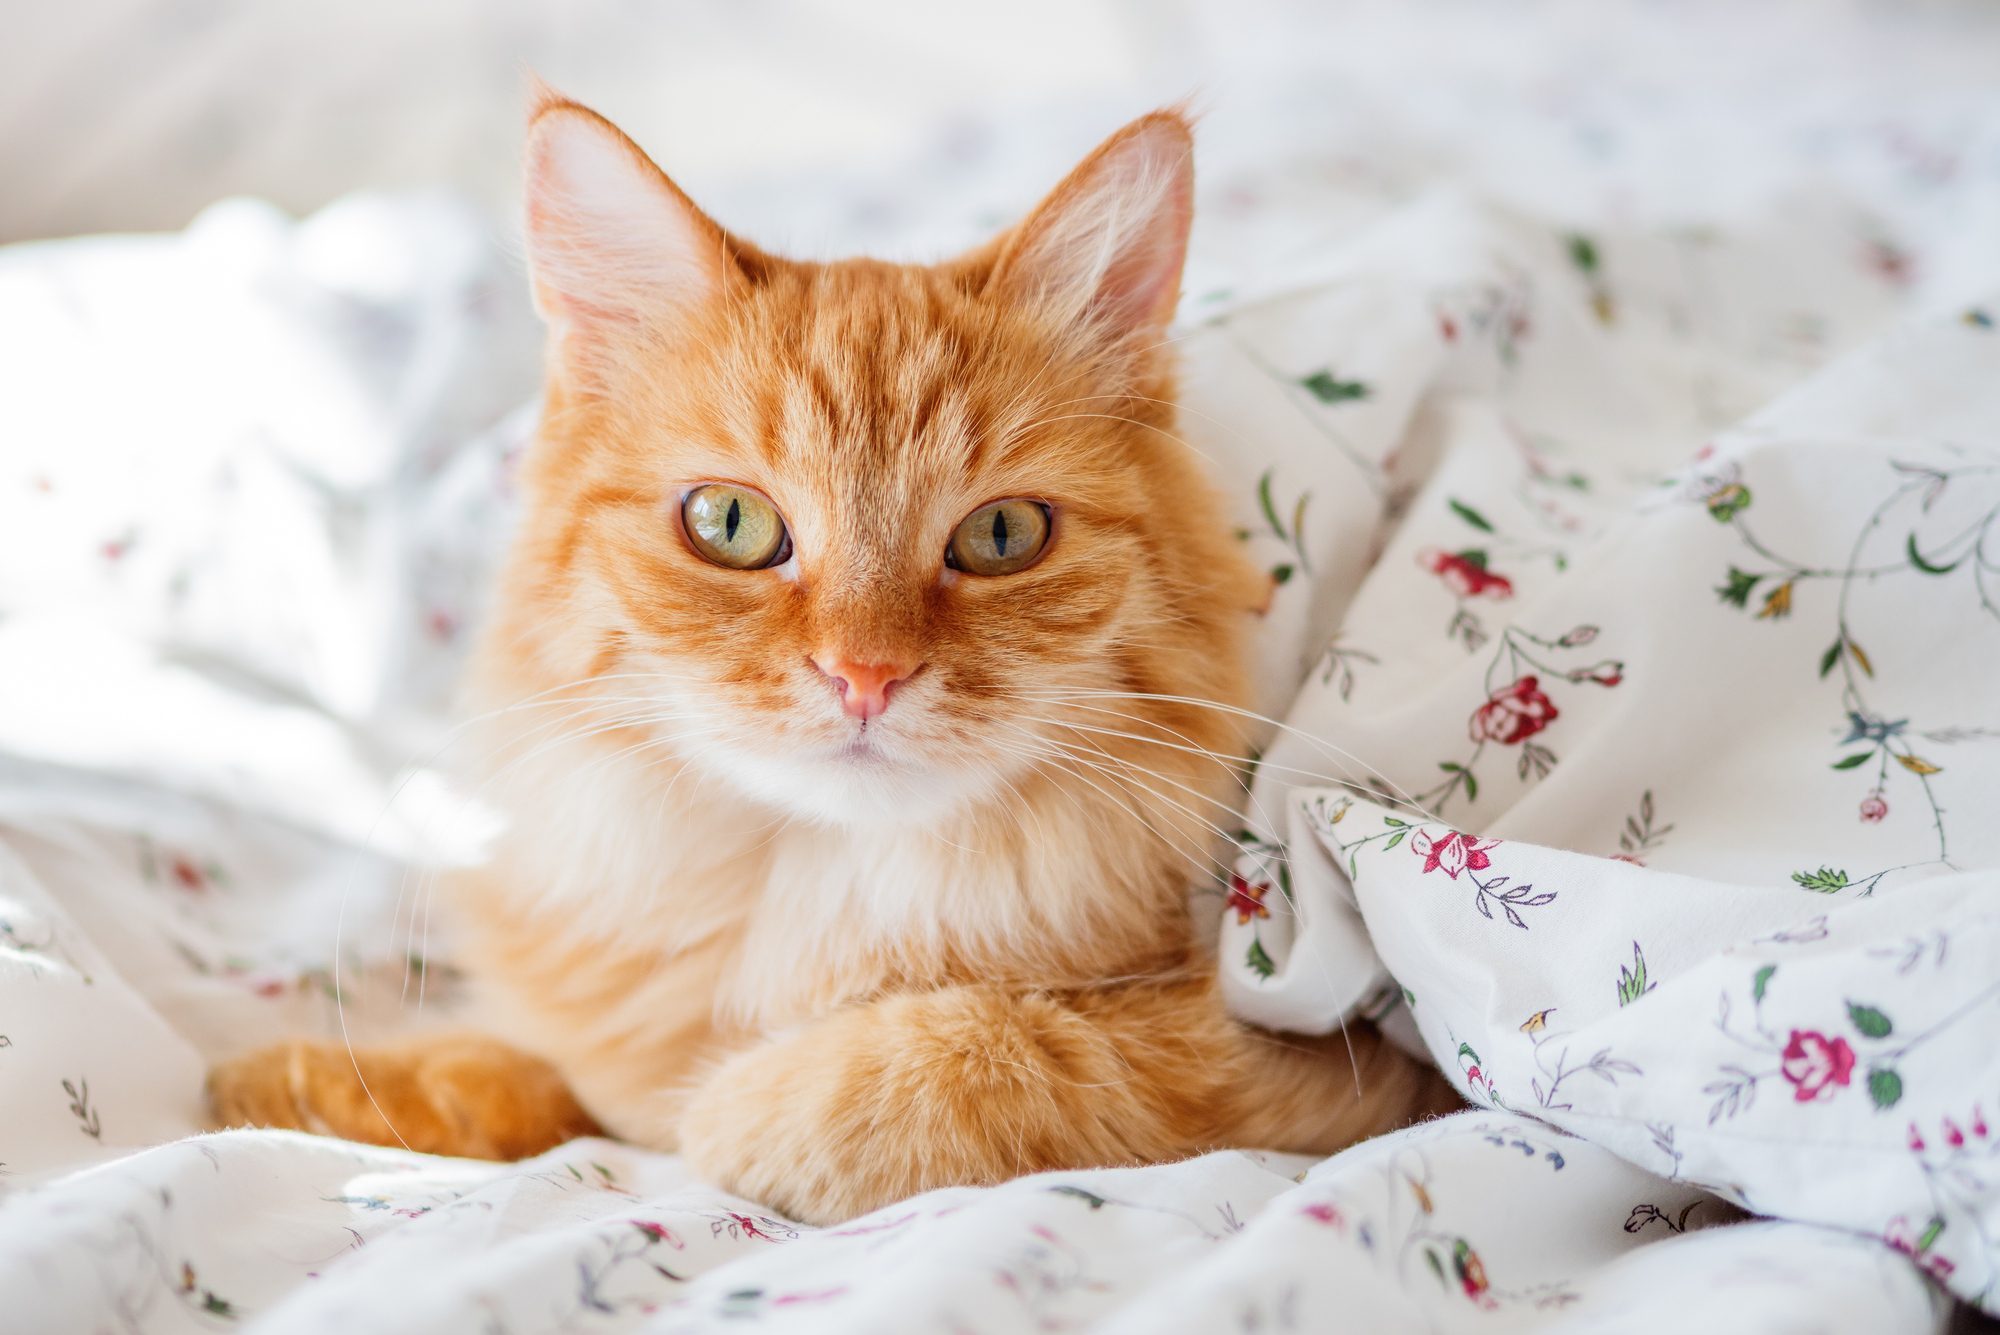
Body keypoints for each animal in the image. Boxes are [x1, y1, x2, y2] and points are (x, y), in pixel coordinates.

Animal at [207, 88, 1456, 1223]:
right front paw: (298, 1086)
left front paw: (739, 1108)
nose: (866, 677)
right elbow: (526, 1075)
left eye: (1002, 538)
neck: (812, 898)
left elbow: (994, 1055)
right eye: (729, 524)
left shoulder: (1332, 1062)